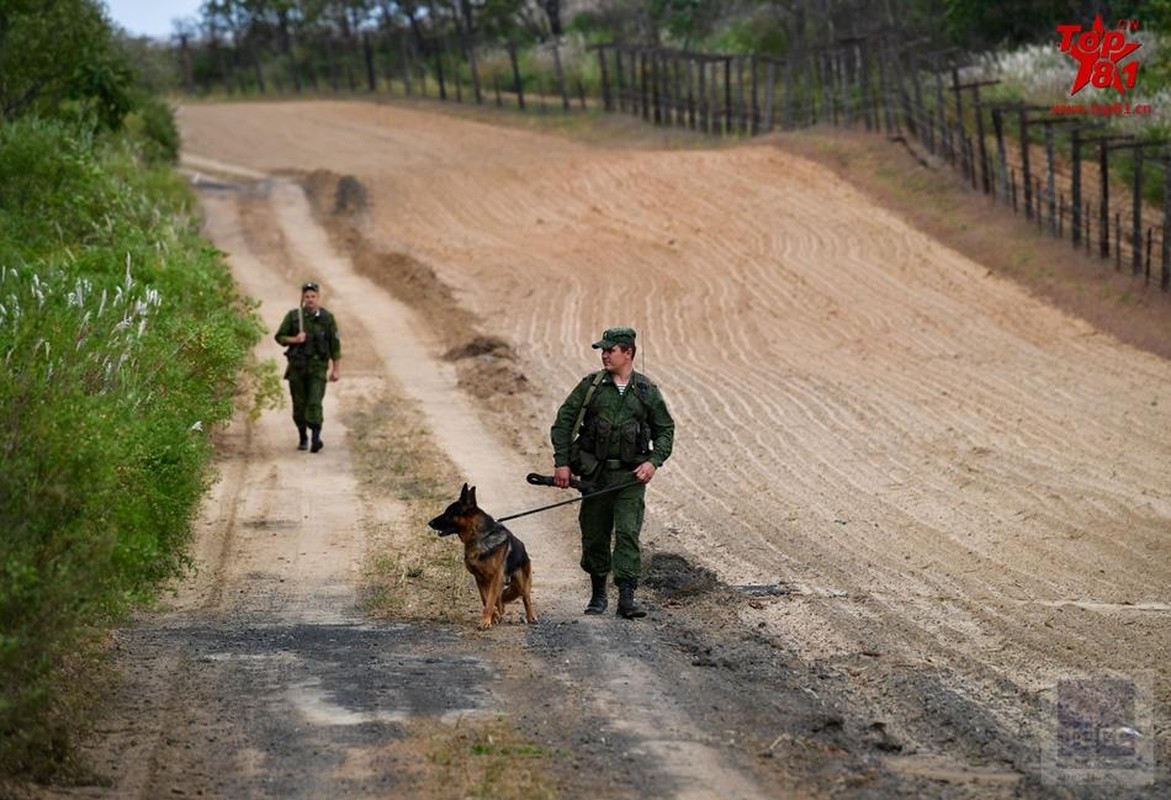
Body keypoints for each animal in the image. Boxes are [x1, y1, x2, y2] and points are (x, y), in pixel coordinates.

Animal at [430, 484, 538, 627]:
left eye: (448, 513)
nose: (429, 523)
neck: (479, 536)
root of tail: (523, 547)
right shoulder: (480, 579)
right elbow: (485, 599)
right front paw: (494, 616)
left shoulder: (495, 578)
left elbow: (490, 601)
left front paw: (486, 621)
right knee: (500, 599)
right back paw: (500, 612)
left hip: (521, 583)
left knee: (526, 598)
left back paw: (531, 616)